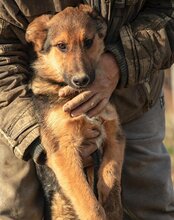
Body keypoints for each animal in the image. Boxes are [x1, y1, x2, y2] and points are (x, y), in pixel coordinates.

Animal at [25, 5, 125, 220]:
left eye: (88, 42)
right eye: (62, 46)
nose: (81, 80)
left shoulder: (115, 133)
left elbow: (111, 173)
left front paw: (110, 201)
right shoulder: (63, 149)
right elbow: (88, 201)